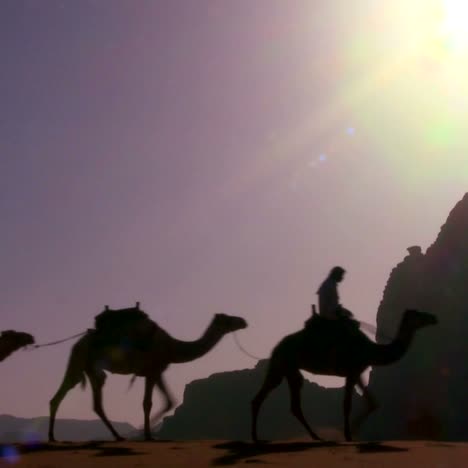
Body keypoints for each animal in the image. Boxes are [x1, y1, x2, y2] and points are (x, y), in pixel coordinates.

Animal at [47, 312, 249, 440]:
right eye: (228, 319)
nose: (243, 321)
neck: (172, 347)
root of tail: (77, 343)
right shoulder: (153, 371)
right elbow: (151, 403)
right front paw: (147, 434)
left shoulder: (154, 372)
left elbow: (166, 401)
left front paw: (148, 433)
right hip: (79, 359)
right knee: (67, 394)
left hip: (89, 368)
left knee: (88, 400)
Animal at [252, 310, 438, 442]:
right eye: (419, 314)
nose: (434, 317)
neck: (370, 350)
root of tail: (276, 347)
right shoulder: (351, 371)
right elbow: (347, 404)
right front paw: (348, 435)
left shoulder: (357, 372)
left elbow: (373, 403)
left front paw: (352, 431)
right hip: (282, 363)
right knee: (266, 397)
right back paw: (257, 438)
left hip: (287, 368)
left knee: (289, 401)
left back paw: (315, 436)